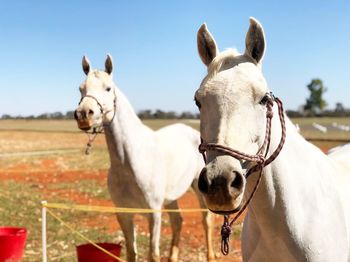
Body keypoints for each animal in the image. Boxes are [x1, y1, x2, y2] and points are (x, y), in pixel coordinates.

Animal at [74, 54, 213, 260]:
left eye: (108, 88)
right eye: (81, 88)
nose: (84, 114)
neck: (129, 163)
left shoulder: (153, 214)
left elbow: (153, 254)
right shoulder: (124, 214)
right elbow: (131, 252)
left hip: (198, 188)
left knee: (206, 220)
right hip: (171, 197)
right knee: (177, 221)